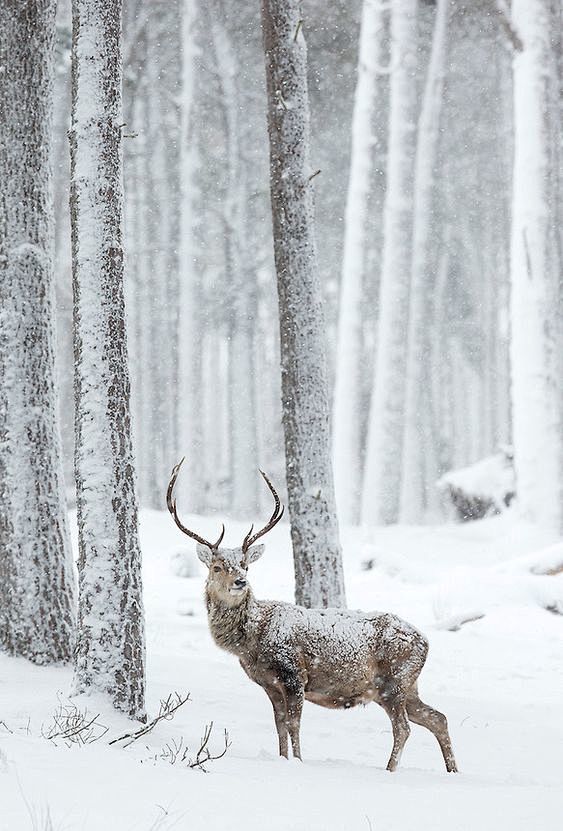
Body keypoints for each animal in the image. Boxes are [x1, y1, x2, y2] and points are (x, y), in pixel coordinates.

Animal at [166, 458, 458, 772]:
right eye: (217, 567)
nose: (240, 582)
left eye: (245, 564)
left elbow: (294, 725)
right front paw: (283, 759)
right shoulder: (269, 684)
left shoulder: (294, 673)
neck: (252, 640)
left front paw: (299, 761)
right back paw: (453, 770)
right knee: (437, 718)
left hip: (393, 680)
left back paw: (390, 770)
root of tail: (425, 641)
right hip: (408, 686)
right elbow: (280, 725)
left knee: (404, 727)